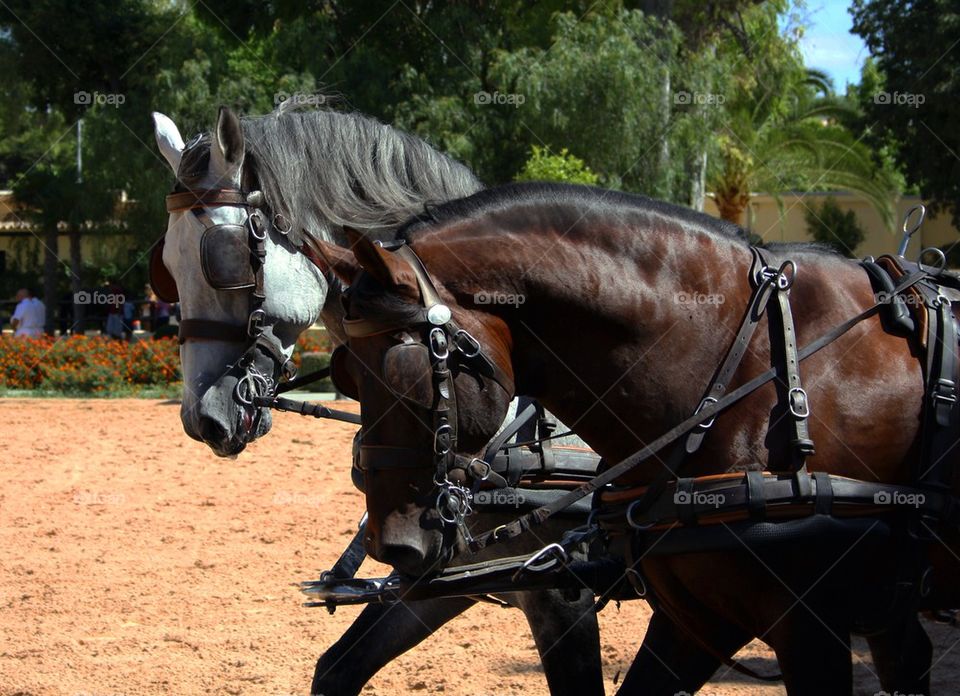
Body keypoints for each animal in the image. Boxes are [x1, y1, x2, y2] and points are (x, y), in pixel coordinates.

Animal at [151, 108, 603, 695]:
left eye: (225, 258)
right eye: (166, 266)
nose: (203, 418)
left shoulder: (560, 587)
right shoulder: (440, 572)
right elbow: (338, 668)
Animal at [312, 181, 960, 695]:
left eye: (408, 370)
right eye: (346, 374)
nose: (395, 548)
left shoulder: (808, 626)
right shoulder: (695, 618)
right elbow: (336, 669)